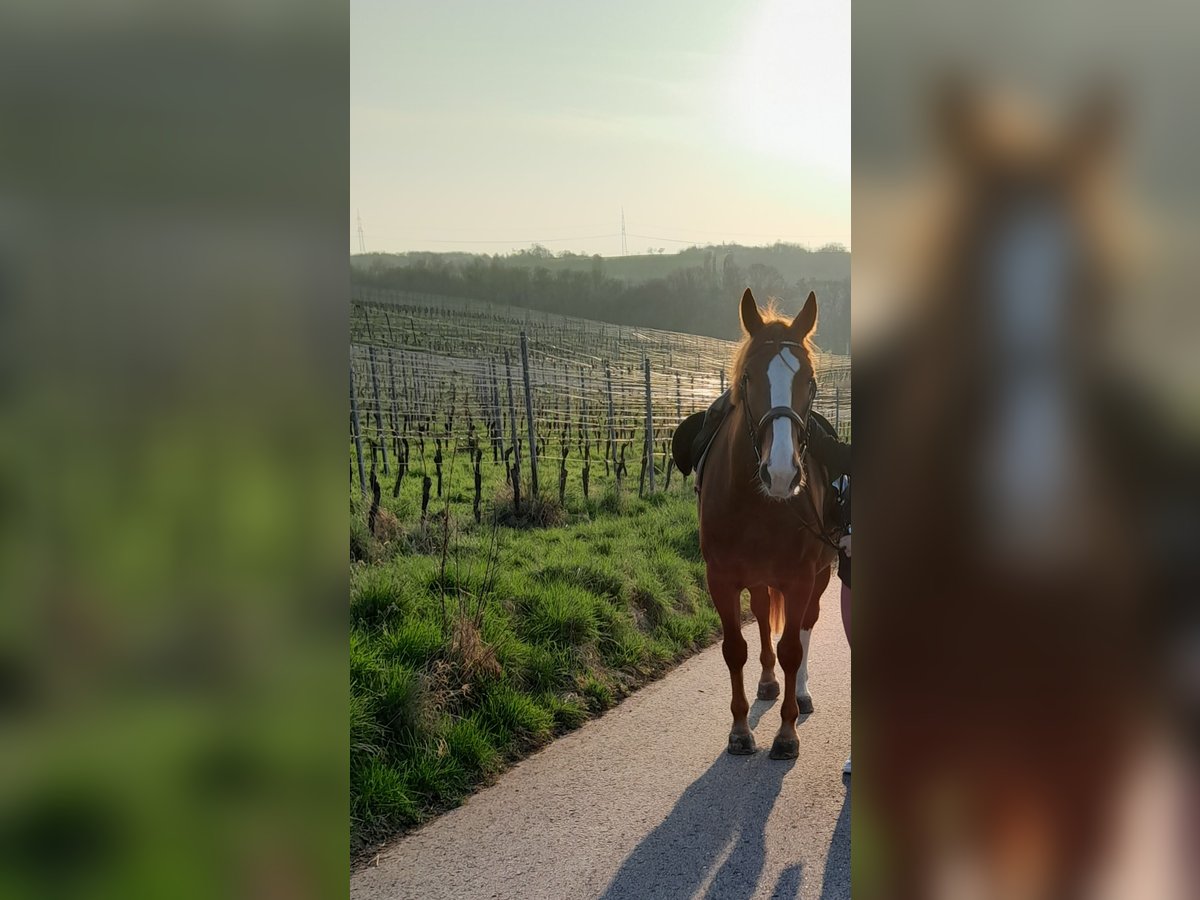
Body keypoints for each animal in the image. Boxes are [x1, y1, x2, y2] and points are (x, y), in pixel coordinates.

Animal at [700, 289, 840, 763]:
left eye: (811, 382)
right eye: (748, 378)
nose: (780, 472)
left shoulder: (800, 578)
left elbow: (793, 647)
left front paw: (786, 732)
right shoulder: (721, 578)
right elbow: (735, 649)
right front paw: (740, 729)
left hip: (820, 574)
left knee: (807, 625)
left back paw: (800, 693)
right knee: (762, 618)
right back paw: (766, 681)